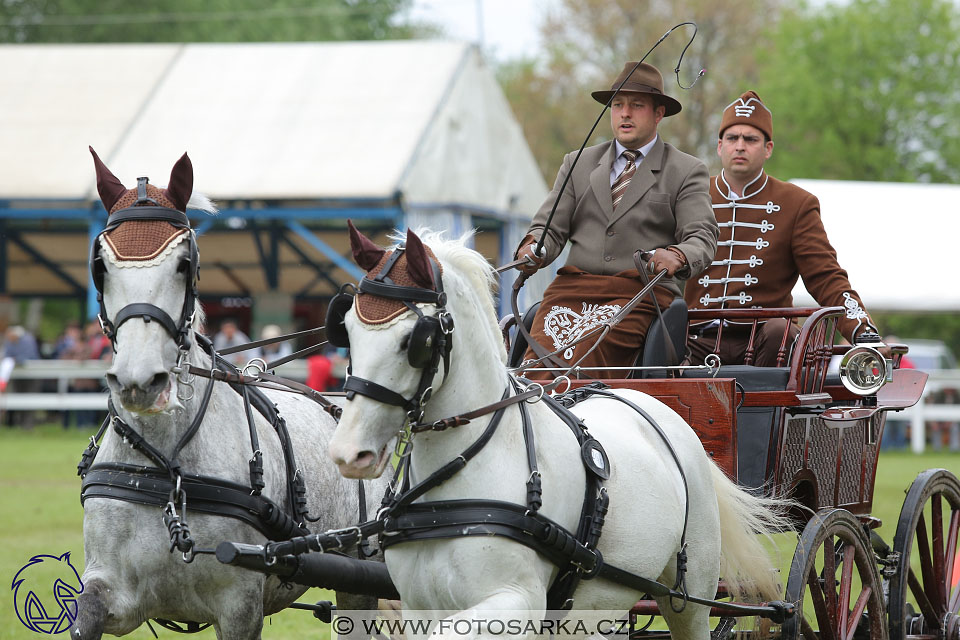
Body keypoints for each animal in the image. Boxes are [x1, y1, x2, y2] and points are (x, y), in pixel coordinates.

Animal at [71, 149, 388, 636]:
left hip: (360, 574)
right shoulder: (108, 590)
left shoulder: (240, 605)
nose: (139, 383)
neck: (169, 472)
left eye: (184, 264)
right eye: (100, 266)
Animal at [326, 228, 792, 636]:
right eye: (345, 330)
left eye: (415, 340)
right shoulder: (418, 607)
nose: (350, 453)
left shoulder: (516, 603)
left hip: (689, 593)